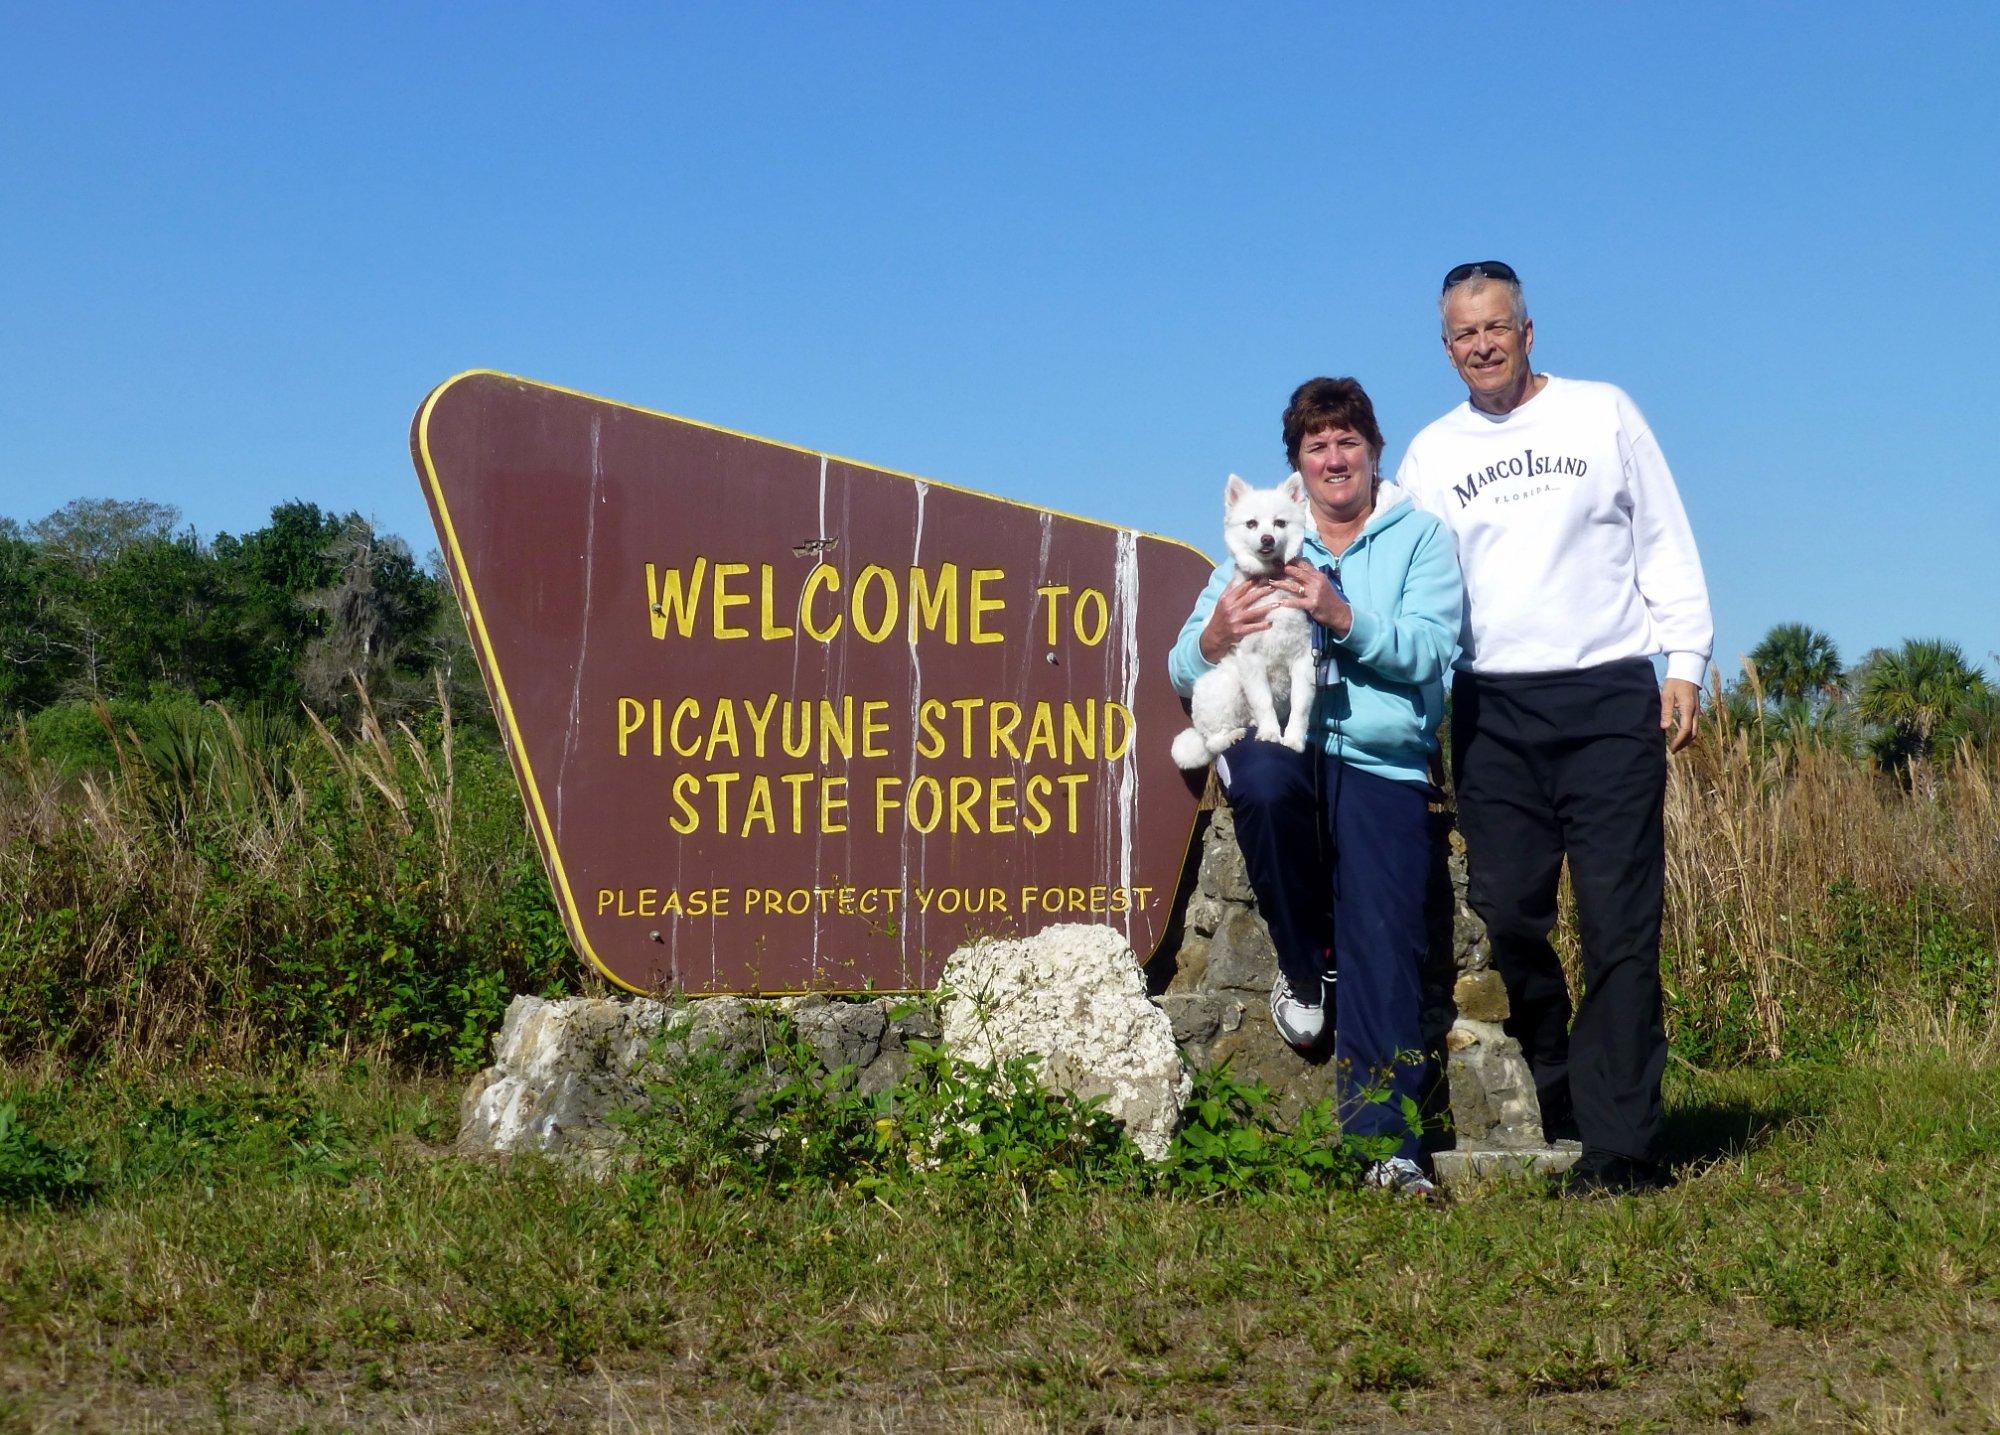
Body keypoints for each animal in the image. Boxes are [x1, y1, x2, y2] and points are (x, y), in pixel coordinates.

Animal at [1168, 475, 1320, 775]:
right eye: (1251, 523)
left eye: (1280, 523)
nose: (1267, 538)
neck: (1271, 585)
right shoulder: (1252, 661)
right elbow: (1263, 702)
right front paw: (1271, 734)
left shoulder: (1302, 661)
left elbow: (1299, 705)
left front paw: (1294, 740)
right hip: (1226, 687)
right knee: (1213, 742)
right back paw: (1233, 735)